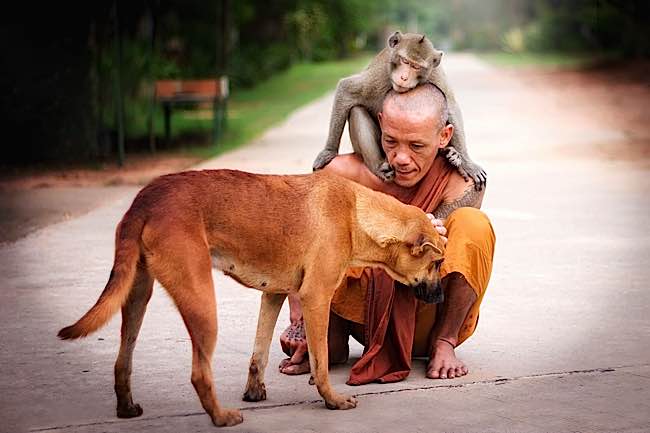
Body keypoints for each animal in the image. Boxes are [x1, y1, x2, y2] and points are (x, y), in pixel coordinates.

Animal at [58, 169, 446, 426]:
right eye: (437, 262)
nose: (441, 297)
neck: (357, 213)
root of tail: (145, 199)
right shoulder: (315, 298)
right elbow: (320, 362)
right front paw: (332, 401)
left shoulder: (273, 294)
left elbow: (259, 352)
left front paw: (255, 391)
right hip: (202, 302)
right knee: (199, 374)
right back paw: (221, 417)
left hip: (137, 295)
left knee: (122, 361)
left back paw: (127, 409)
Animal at [312, 31, 484, 190]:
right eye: (404, 60)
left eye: (416, 66)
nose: (404, 77)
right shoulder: (377, 78)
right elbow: (346, 89)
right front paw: (328, 151)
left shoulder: (435, 75)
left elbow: (451, 107)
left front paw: (468, 163)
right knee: (356, 111)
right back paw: (377, 167)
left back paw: (452, 154)